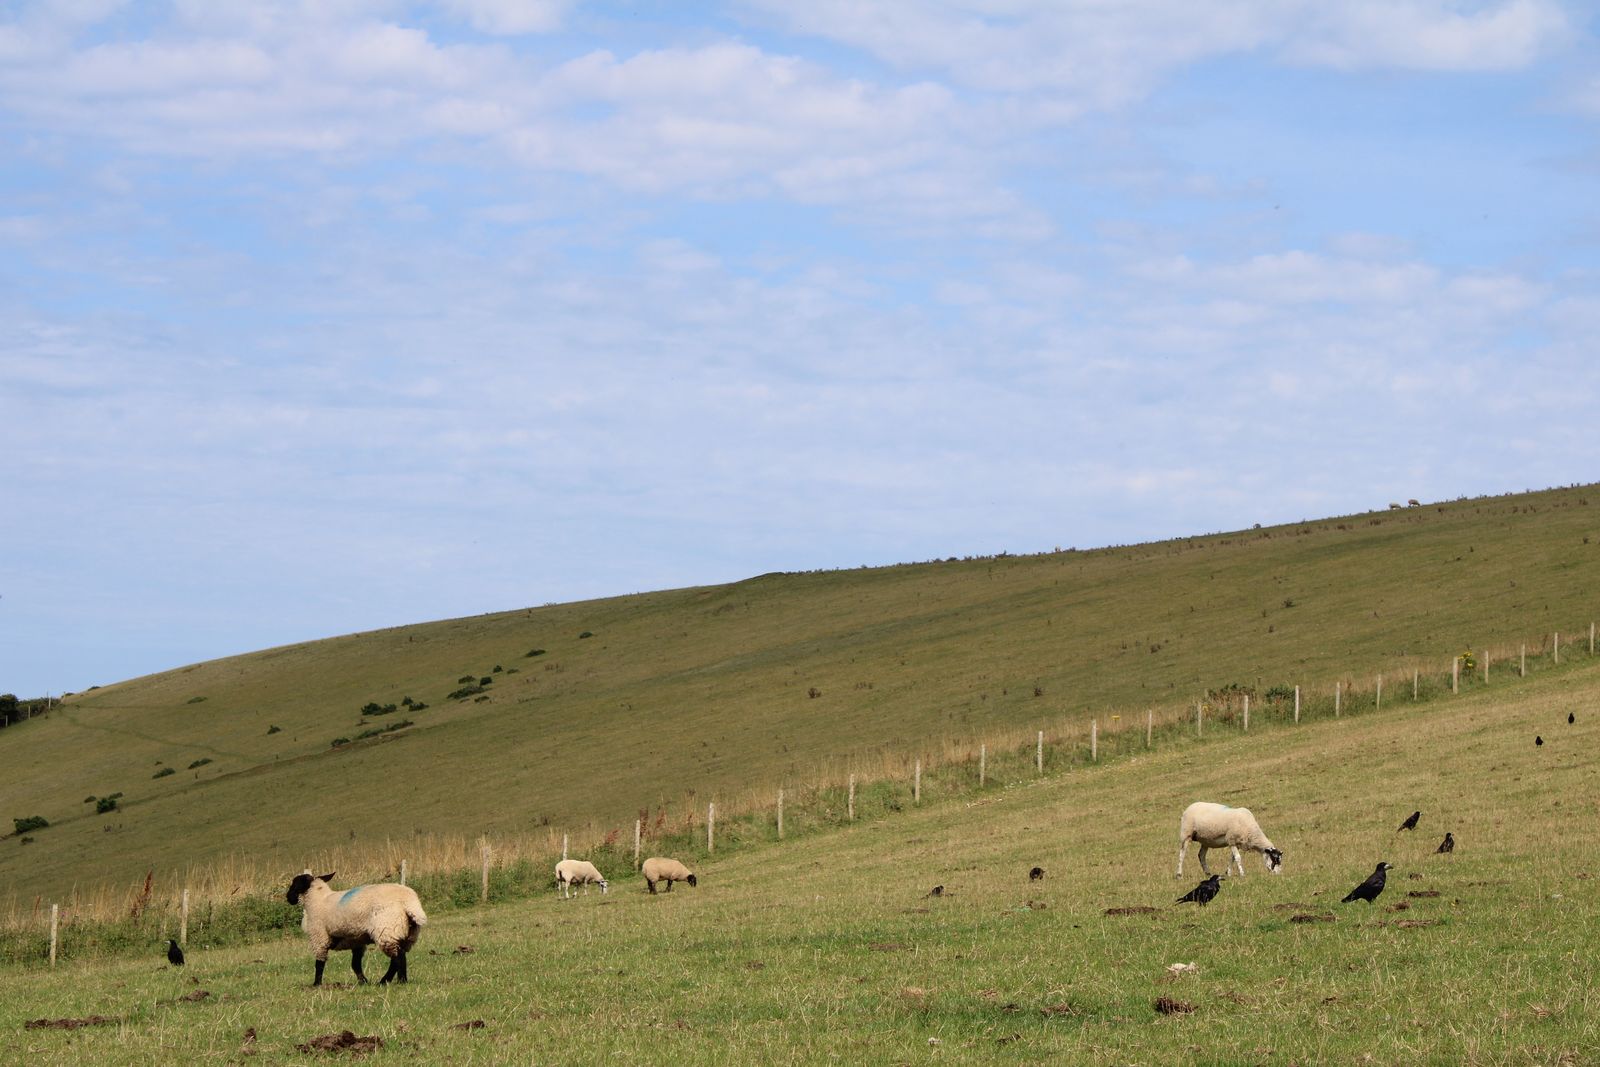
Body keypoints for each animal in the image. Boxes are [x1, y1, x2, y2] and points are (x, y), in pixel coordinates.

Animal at [285, 871, 426, 987]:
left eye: (295, 884)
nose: (288, 898)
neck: (316, 900)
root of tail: (409, 903)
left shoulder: (319, 937)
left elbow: (319, 963)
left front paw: (317, 984)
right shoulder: (357, 941)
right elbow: (355, 964)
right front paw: (363, 981)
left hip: (387, 930)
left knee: (398, 957)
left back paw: (389, 981)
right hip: (406, 934)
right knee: (401, 957)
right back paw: (398, 980)